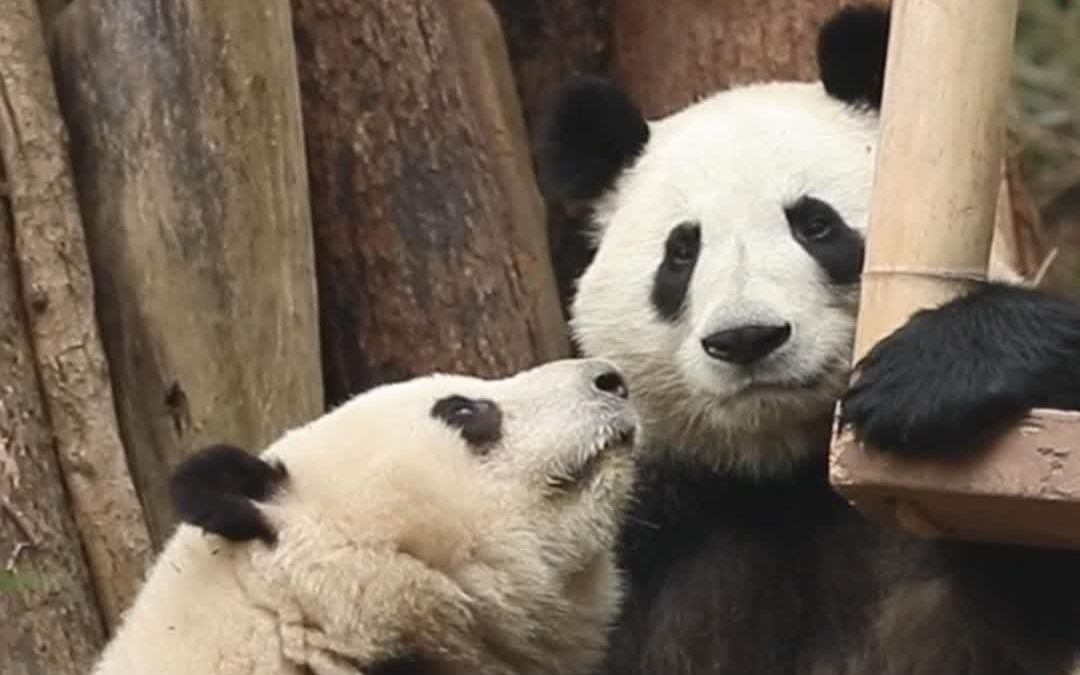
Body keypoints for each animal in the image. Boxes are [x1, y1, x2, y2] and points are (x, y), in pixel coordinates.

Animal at [540, 5, 1080, 673]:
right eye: (682, 252)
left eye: (816, 224)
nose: (747, 338)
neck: (786, 470)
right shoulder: (655, 517)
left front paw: (934, 375)